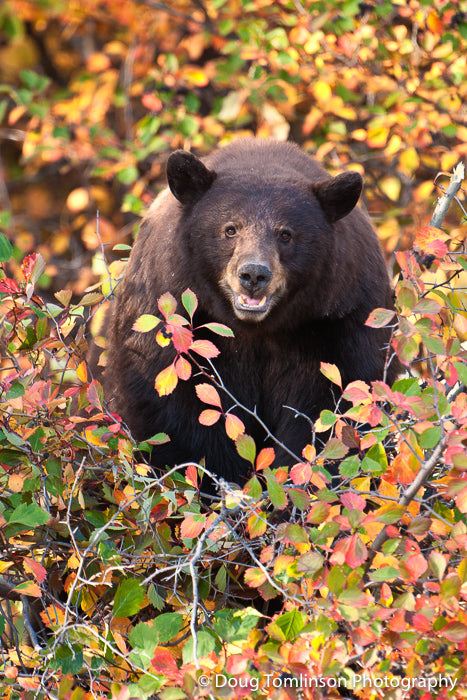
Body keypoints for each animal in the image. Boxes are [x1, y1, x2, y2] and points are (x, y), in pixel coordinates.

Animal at [103, 139, 399, 485]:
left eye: (286, 234)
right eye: (230, 229)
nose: (254, 274)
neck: (254, 329)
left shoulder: (343, 318)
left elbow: (338, 406)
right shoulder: (165, 309)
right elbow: (170, 409)